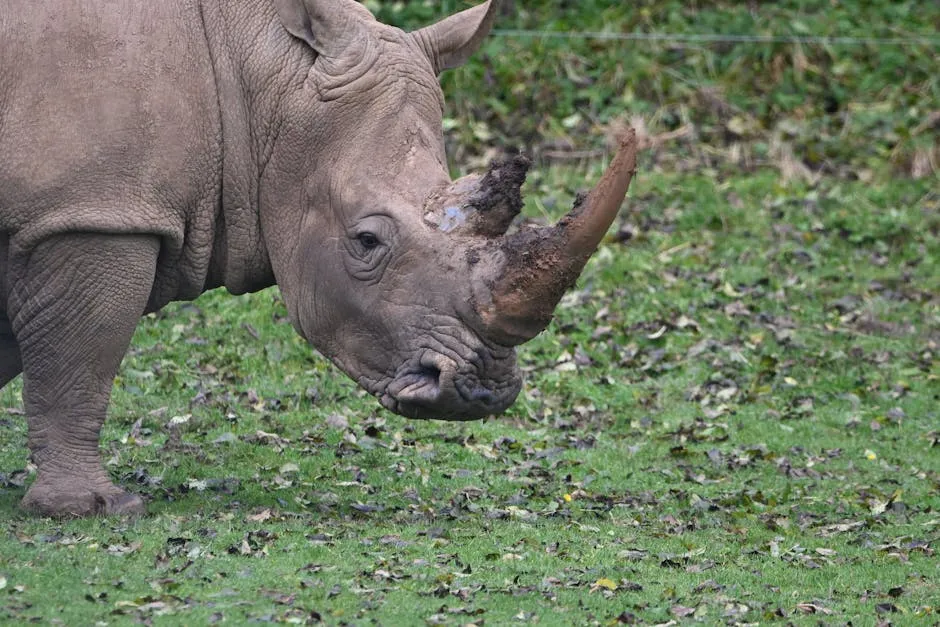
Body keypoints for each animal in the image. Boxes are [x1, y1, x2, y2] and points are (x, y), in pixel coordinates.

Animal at [0, 0, 636, 516]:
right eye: (367, 242)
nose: (480, 392)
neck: (257, 81)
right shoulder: (93, 210)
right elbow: (80, 362)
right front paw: (90, 509)